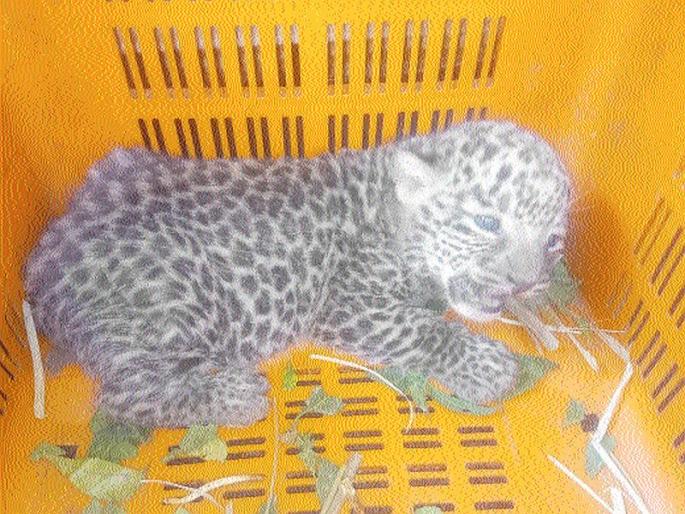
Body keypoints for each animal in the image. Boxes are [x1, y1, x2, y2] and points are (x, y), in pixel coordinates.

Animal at [23, 119, 571, 427]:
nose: (526, 282)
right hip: (176, 302)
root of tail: (41, 268)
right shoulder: (349, 302)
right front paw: (489, 365)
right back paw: (235, 395)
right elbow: (421, 329)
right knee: (126, 397)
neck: (387, 210)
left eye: (553, 241)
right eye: (487, 223)